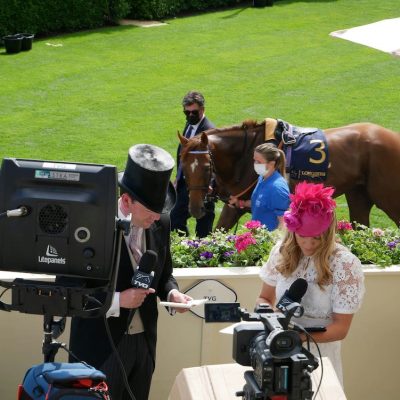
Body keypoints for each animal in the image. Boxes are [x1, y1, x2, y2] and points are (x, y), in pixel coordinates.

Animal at [178, 118, 400, 231]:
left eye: (206, 167)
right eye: (184, 165)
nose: (195, 208)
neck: (246, 154)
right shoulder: (235, 204)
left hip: (387, 196)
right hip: (359, 195)